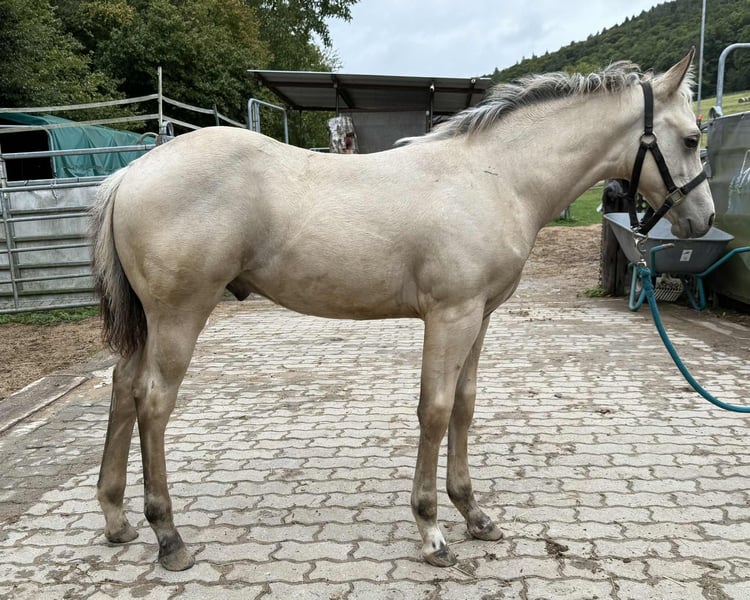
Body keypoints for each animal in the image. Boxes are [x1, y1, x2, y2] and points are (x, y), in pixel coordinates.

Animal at [91, 49, 714, 571]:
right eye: (690, 138)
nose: (703, 219)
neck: (496, 177)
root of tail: (129, 173)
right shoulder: (451, 316)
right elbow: (434, 411)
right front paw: (432, 532)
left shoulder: (479, 317)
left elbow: (464, 406)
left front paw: (474, 514)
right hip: (179, 316)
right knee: (153, 402)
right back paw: (168, 537)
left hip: (149, 323)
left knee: (123, 388)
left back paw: (118, 521)